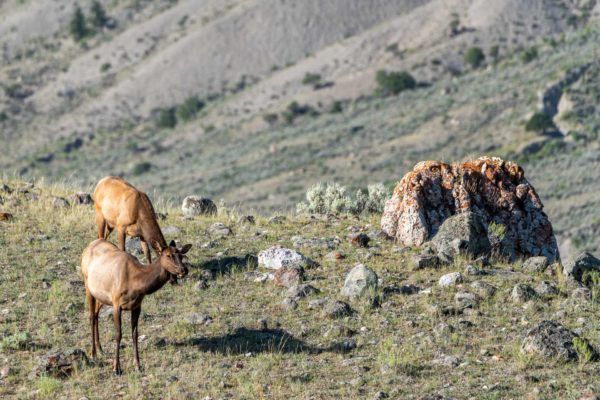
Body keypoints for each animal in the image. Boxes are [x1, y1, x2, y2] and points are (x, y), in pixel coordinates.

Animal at [81, 238, 191, 376]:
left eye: (181, 255)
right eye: (168, 255)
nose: (184, 270)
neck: (136, 283)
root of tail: (89, 245)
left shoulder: (137, 306)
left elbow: (135, 334)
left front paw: (138, 365)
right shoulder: (116, 304)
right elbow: (118, 334)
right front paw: (116, 368)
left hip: (102, 296)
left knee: (96, 315)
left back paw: (100, 349)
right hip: (87, 285)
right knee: (91, 317)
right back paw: (93, 354)